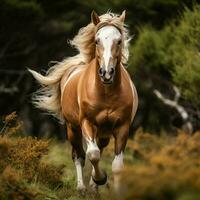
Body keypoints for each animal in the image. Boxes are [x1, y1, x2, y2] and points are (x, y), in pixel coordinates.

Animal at [28, 10, 138, 192]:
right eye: (97, 40)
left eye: (119, 41)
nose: (106, 73)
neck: (106, 93)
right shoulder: (87, 122)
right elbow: (92, 154)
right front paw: (100, 178)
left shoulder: (123, 126)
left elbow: (117, 166)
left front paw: (104, 184)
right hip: (73, 128)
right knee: (78, 155)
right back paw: (81, 187)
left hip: (103, 132)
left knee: (99, 148)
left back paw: (93, 186)